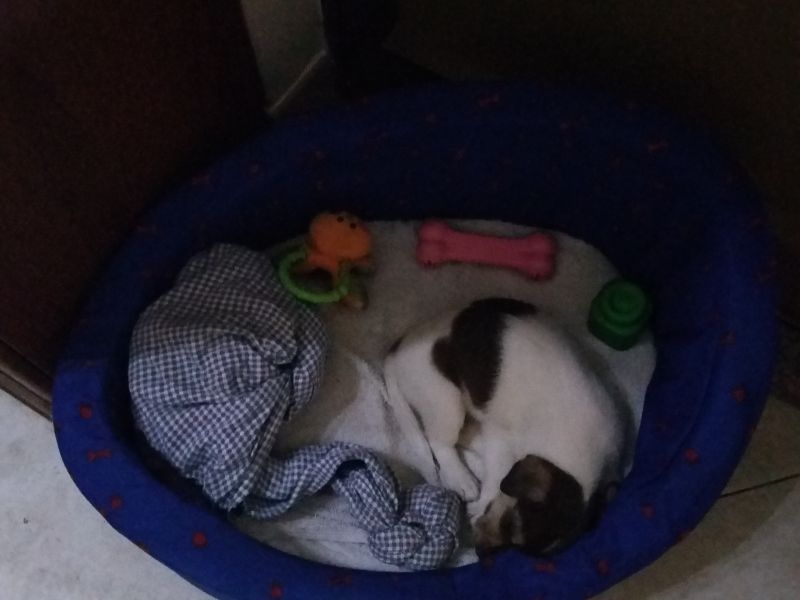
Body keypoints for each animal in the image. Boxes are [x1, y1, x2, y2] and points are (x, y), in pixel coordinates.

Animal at [384, 298, 625, 557]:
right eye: (510, 524)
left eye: (513, 535)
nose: (480, 552)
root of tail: (395, 354)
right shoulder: (501, 438)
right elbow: (496, 475)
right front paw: (480, 504)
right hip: (445, 400)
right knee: (439, 442)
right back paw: (461, 478)